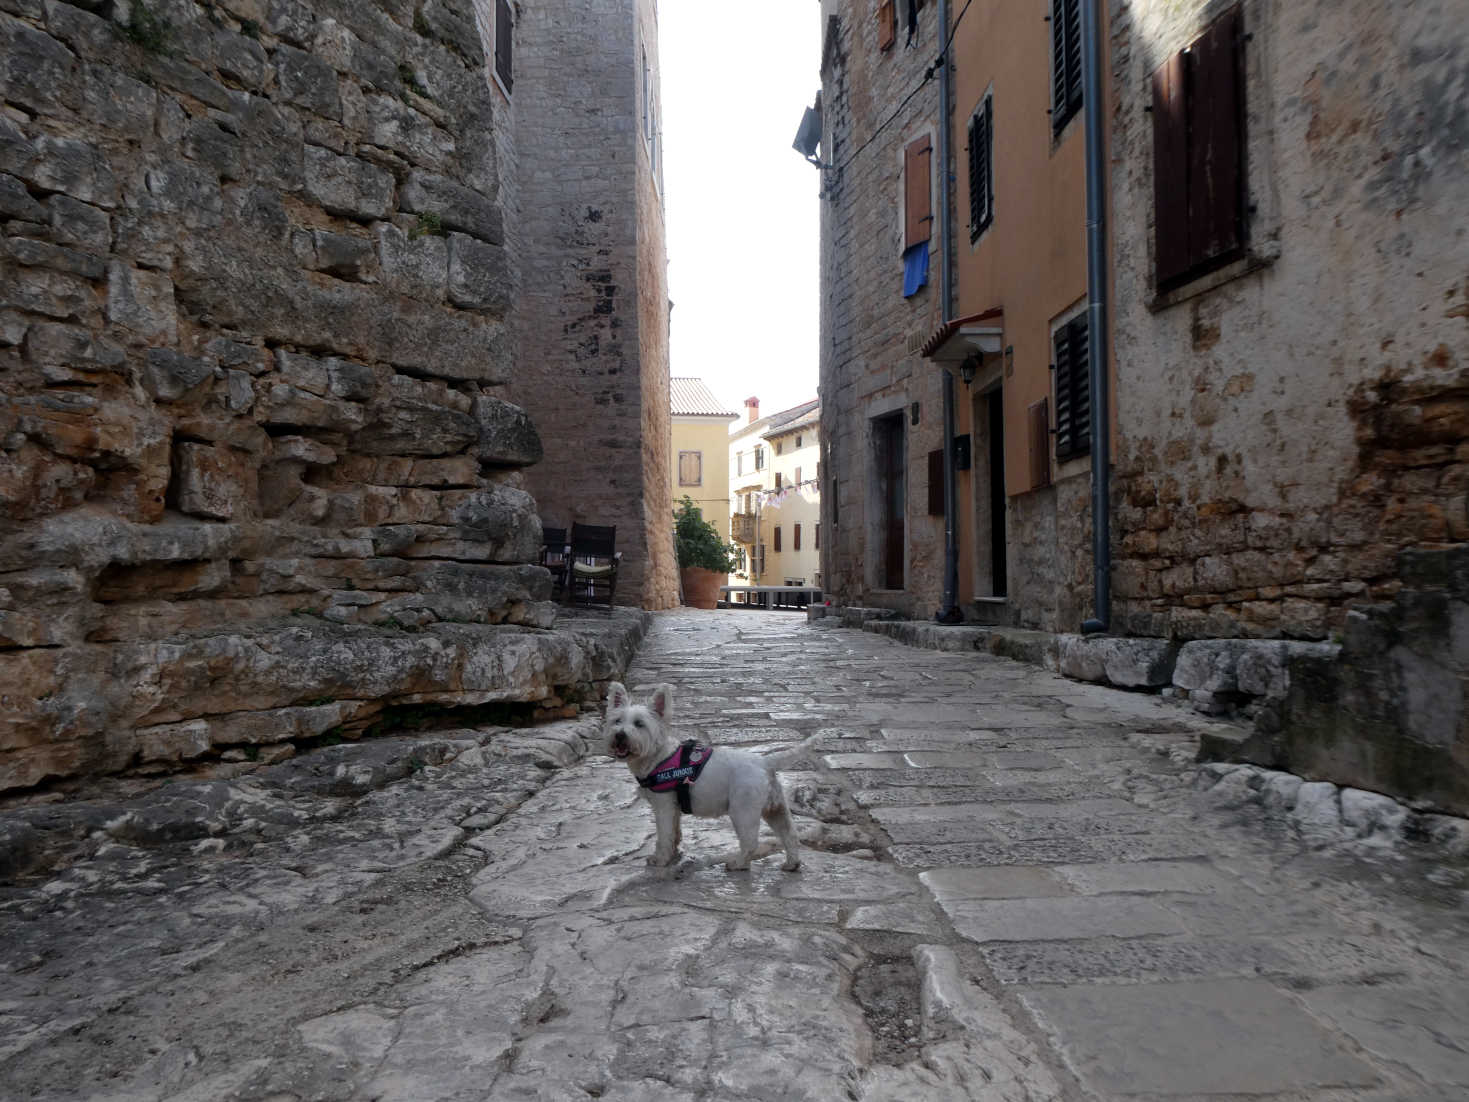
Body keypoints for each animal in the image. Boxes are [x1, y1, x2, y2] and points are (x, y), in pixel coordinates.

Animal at [605, 681, 810, 869]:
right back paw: (792, 863)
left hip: (743, 810)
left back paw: (738, 863)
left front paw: (660, 859)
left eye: (639, 724)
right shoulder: (674, 807)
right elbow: (674, 832)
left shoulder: (663, 805)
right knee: (789, 833)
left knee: (751, 842)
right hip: (775, 807)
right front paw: (674, 854)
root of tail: (765, 763)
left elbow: (664, 834)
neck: (658, 756)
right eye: (617, 721)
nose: (620, 735)